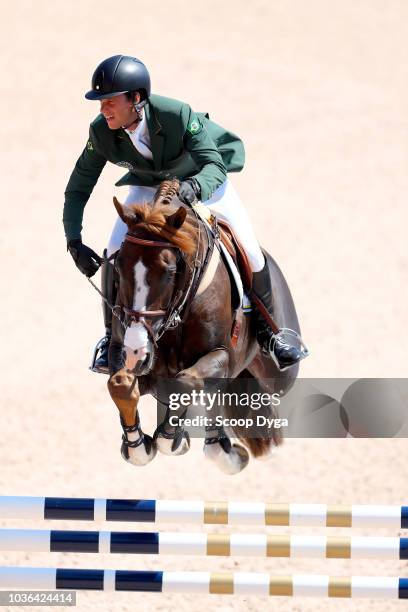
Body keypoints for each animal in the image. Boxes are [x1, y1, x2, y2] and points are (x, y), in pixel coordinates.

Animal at [107, 179, 302, 476]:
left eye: (170, 272)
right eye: (117, 266)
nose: (137, 351)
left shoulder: (222, 356)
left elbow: (185, 382)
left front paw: (171, 439)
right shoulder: (125, 349)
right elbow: (120, 384)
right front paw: (139, 446)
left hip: (279, 377)